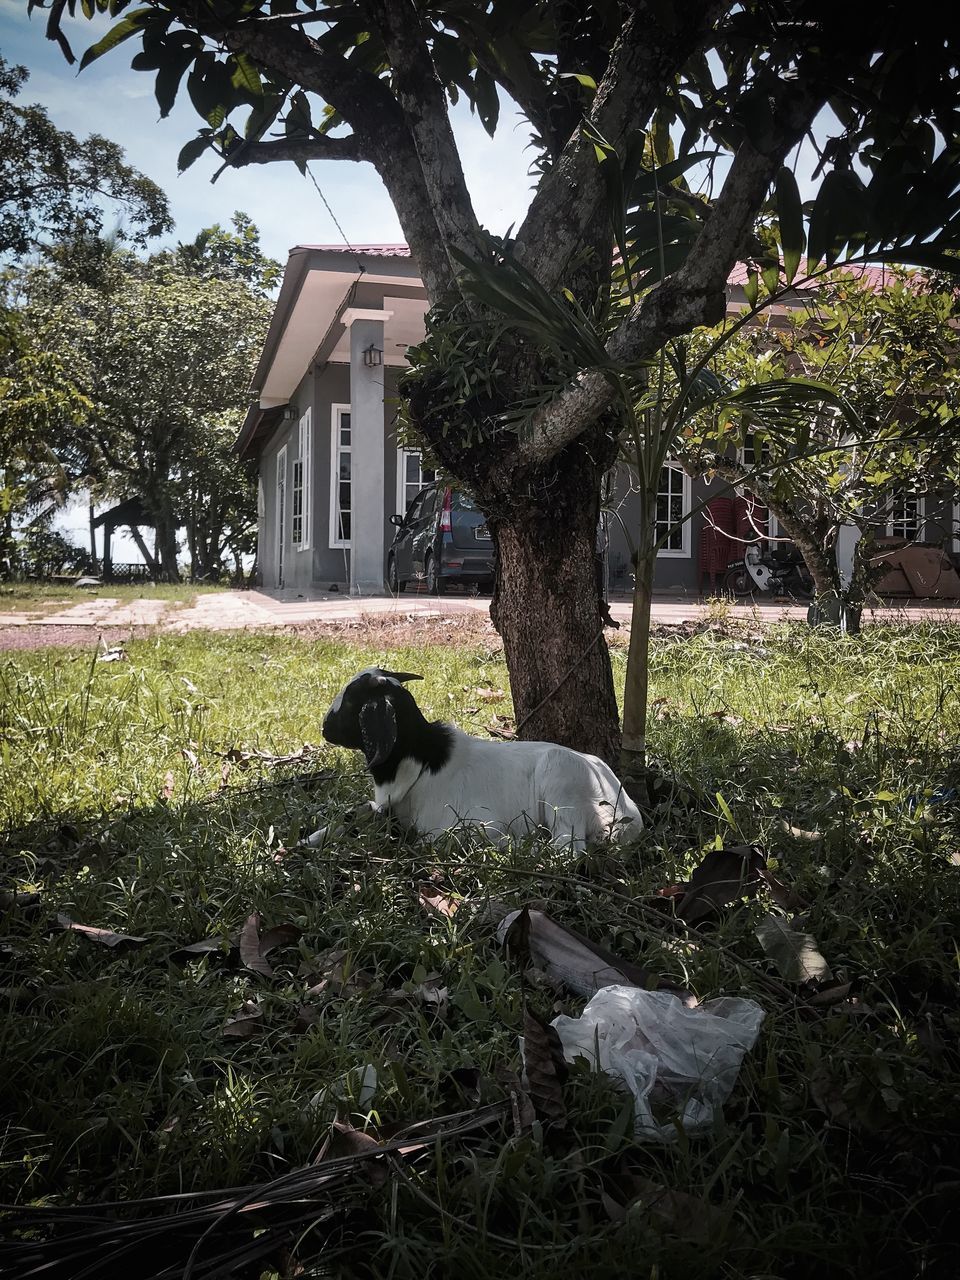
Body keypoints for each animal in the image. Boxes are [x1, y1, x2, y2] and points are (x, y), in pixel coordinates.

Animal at [312, 670, 647, 849]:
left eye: (351, 701)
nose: (324, 727)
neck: (423, 761)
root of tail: (626, 813)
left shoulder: (471, 826)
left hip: (561, 785)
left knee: (567, 849)